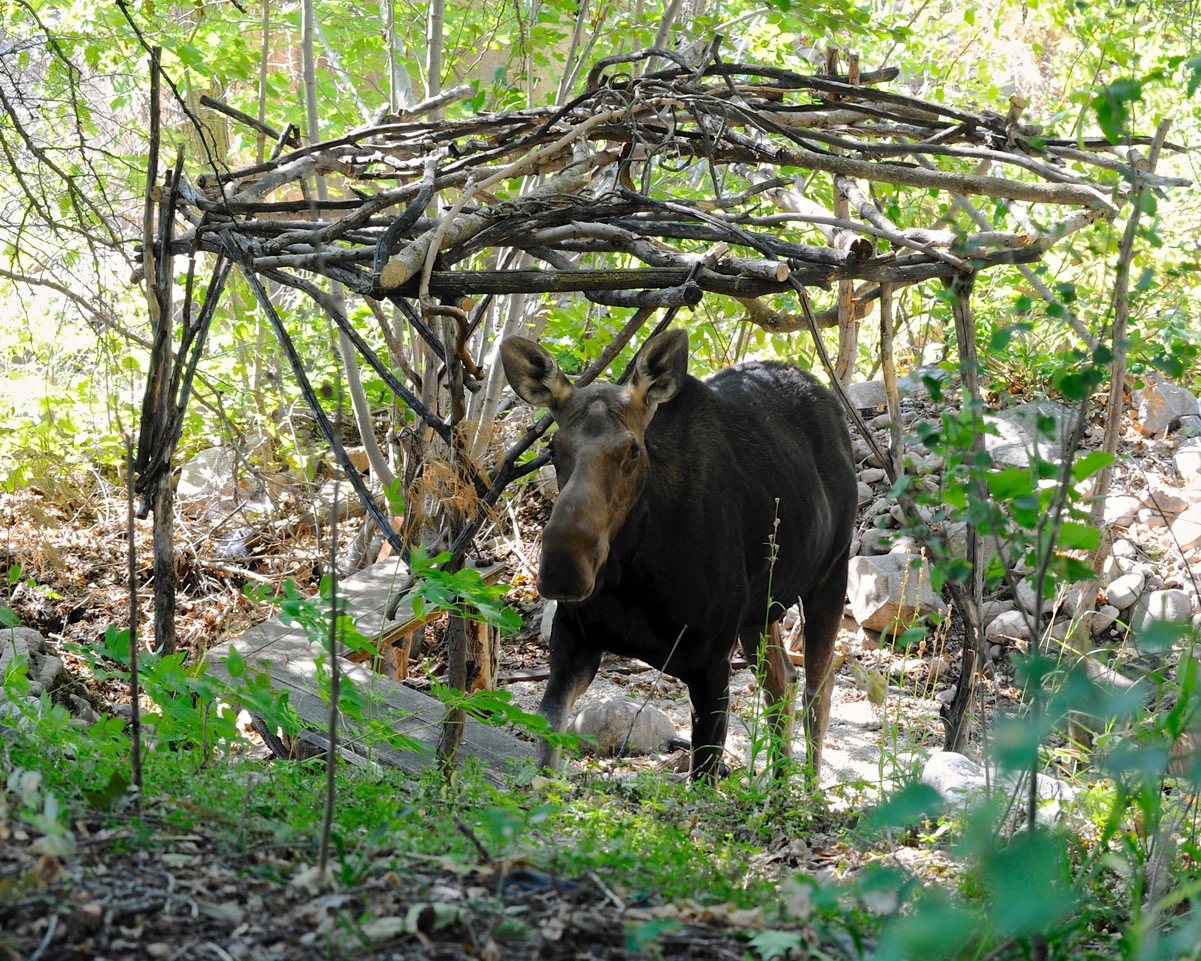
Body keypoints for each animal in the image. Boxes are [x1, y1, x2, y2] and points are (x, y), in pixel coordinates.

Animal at [502, 331, 859, 778]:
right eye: (552, 448)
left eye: (632, 450)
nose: (563, 569)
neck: (632, 575)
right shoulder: (573, 640)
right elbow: (547, 750)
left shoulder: (711, 665)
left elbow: (703, 778)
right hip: (760, 611)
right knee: (781, 682)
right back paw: (776, 785)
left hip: (831, 576)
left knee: (818, 687)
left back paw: (806, 787)